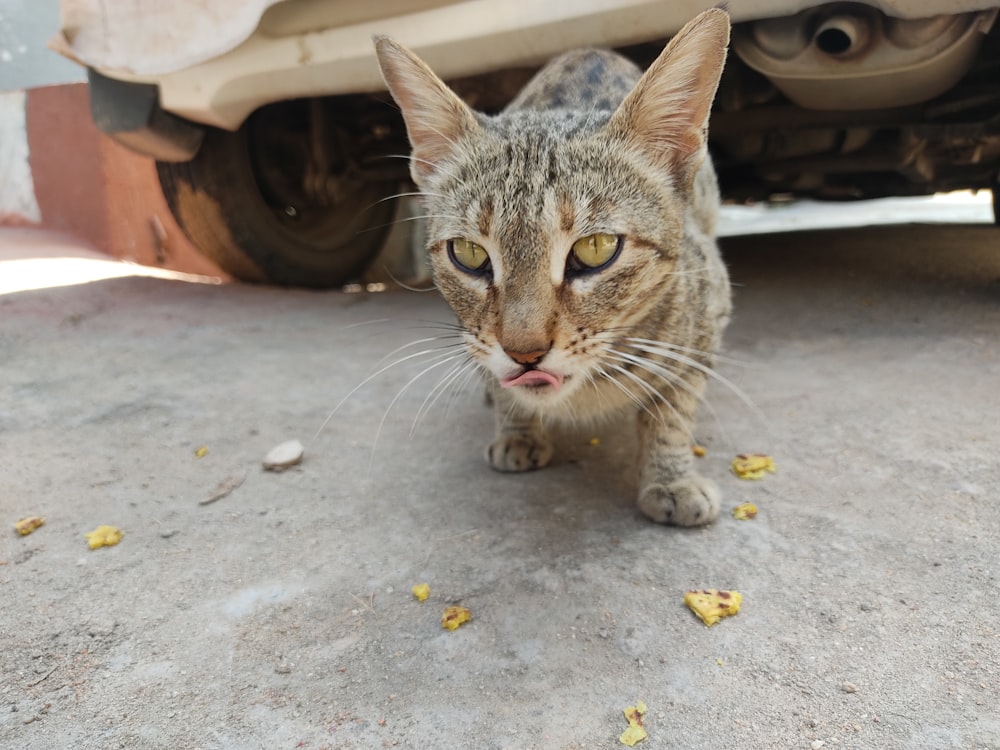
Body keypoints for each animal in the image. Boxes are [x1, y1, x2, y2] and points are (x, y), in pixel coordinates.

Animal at [376, 10, 736, 528]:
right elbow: (501, 382)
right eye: (468, 254)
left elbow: (673, 407)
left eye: (597, 248)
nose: (524, 353)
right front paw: (516, 427)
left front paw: (671, 477)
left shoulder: (707, 317)